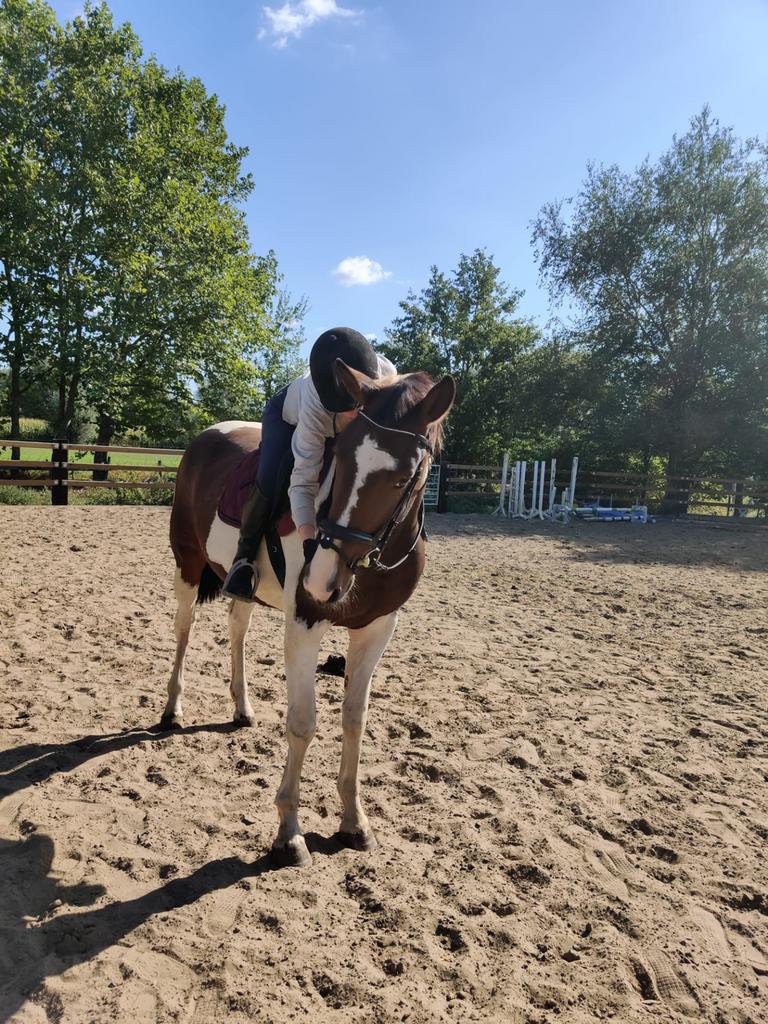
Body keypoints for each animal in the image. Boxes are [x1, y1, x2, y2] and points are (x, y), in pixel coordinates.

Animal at [164, 361, 455, 866]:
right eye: (342, 464)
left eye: (404, 478)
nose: (320, 581)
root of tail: (208, 435)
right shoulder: (304, 623)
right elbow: (302, 724)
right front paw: (289, 833)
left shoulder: (377, 629)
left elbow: (355, 719)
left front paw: (354, 822)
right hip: (188, 561)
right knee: (184, 630)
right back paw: (172, 709)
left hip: (242, 585)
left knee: (237, 629)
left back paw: (242, 708)